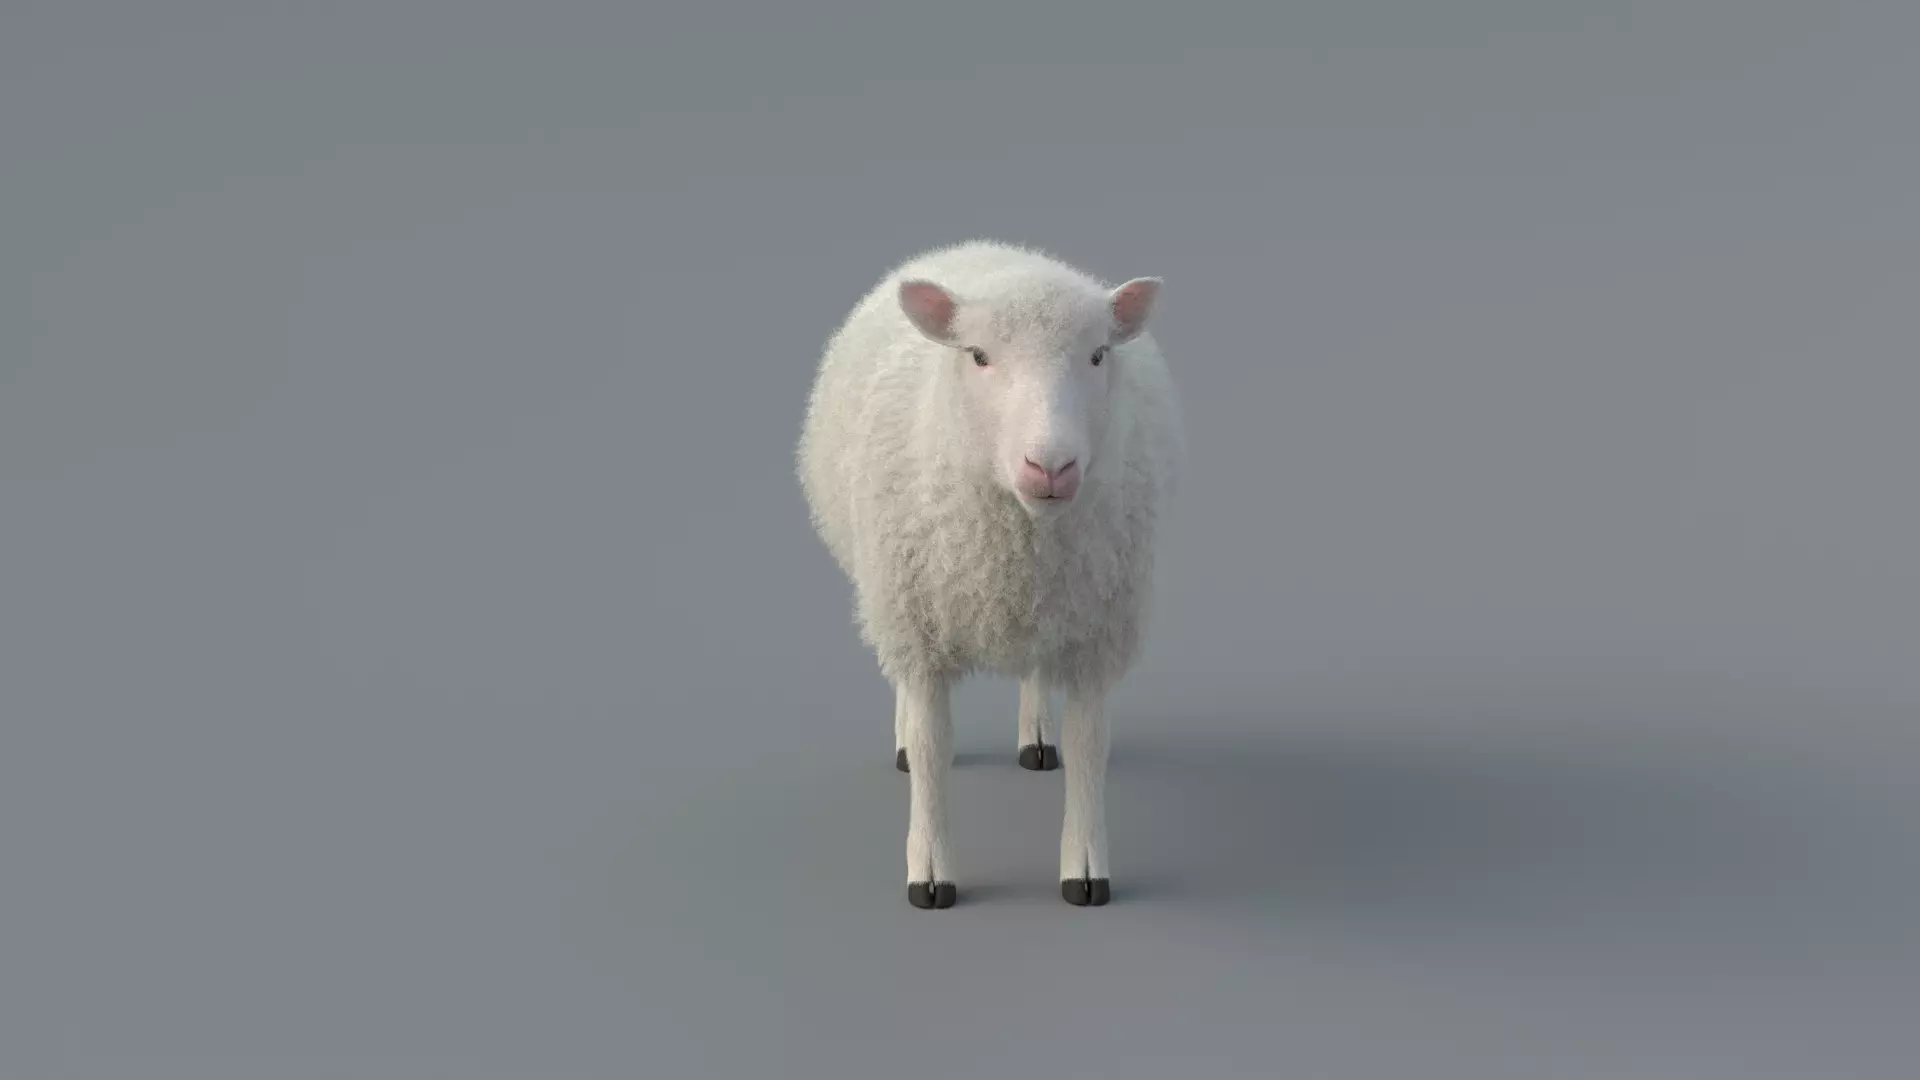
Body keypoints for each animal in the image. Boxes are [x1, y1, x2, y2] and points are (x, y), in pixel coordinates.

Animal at [796, 239, 1183, 909]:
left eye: (1098, 354)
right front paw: (930, 871)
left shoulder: (1095, 637)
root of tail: (991, 249)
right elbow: (932, 747)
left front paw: (1085, 867)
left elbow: (1089, 747)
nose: (1050, 467)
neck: (1021, 536)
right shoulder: (918, 625)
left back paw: (1036, 736)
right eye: (977, 356)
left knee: (1036, 672)